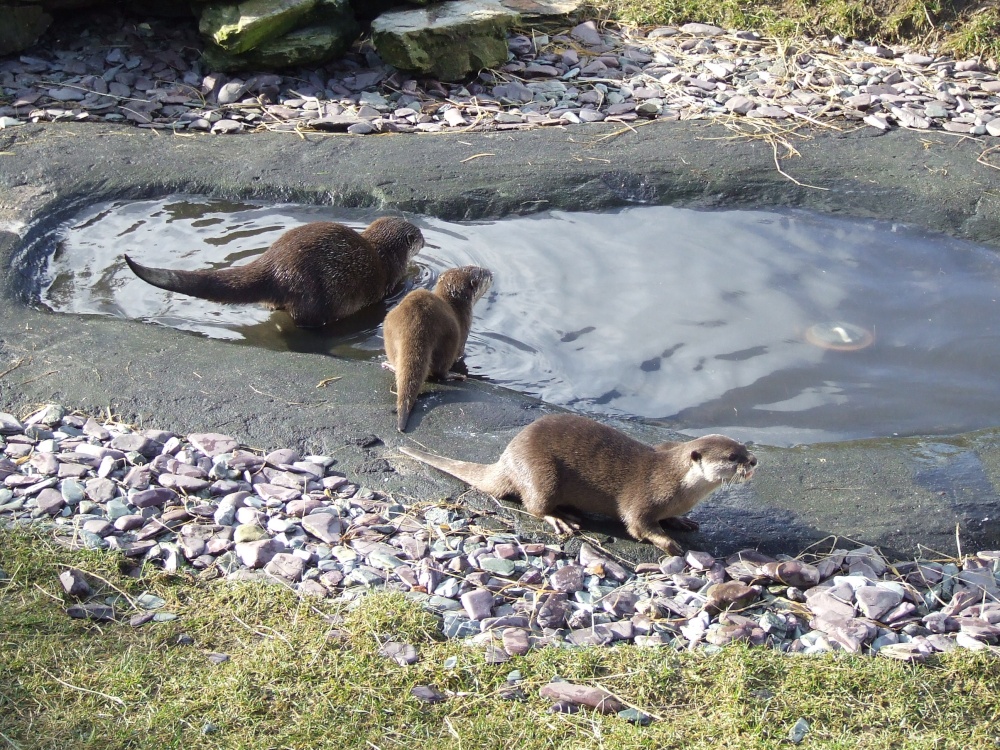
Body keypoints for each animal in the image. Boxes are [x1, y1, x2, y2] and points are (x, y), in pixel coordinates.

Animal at [123, 216, 424, 328]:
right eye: (419, 236)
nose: (424, 239)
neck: (383, 251)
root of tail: (272, 265)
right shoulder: (392, 277)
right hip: (314, 292)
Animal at [382, 265, 493, 432]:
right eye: (482, 273)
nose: (491, 273)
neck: (456, 306)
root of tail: (415, 324)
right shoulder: (464, 330)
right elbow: (460, 354)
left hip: (389, 330)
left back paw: (390, 365)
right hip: (449, 338)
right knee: (440, 371)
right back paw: (455, 375)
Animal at [399, 414, 756, 554]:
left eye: (744, 448)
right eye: (732, 456)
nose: (754, 461)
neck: (679, 485)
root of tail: (507, 457)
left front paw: (680, 521)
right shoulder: (644, 497)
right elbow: (637, 525)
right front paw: (668, 542)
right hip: (541, 473)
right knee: (534, 505)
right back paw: (562, 519)